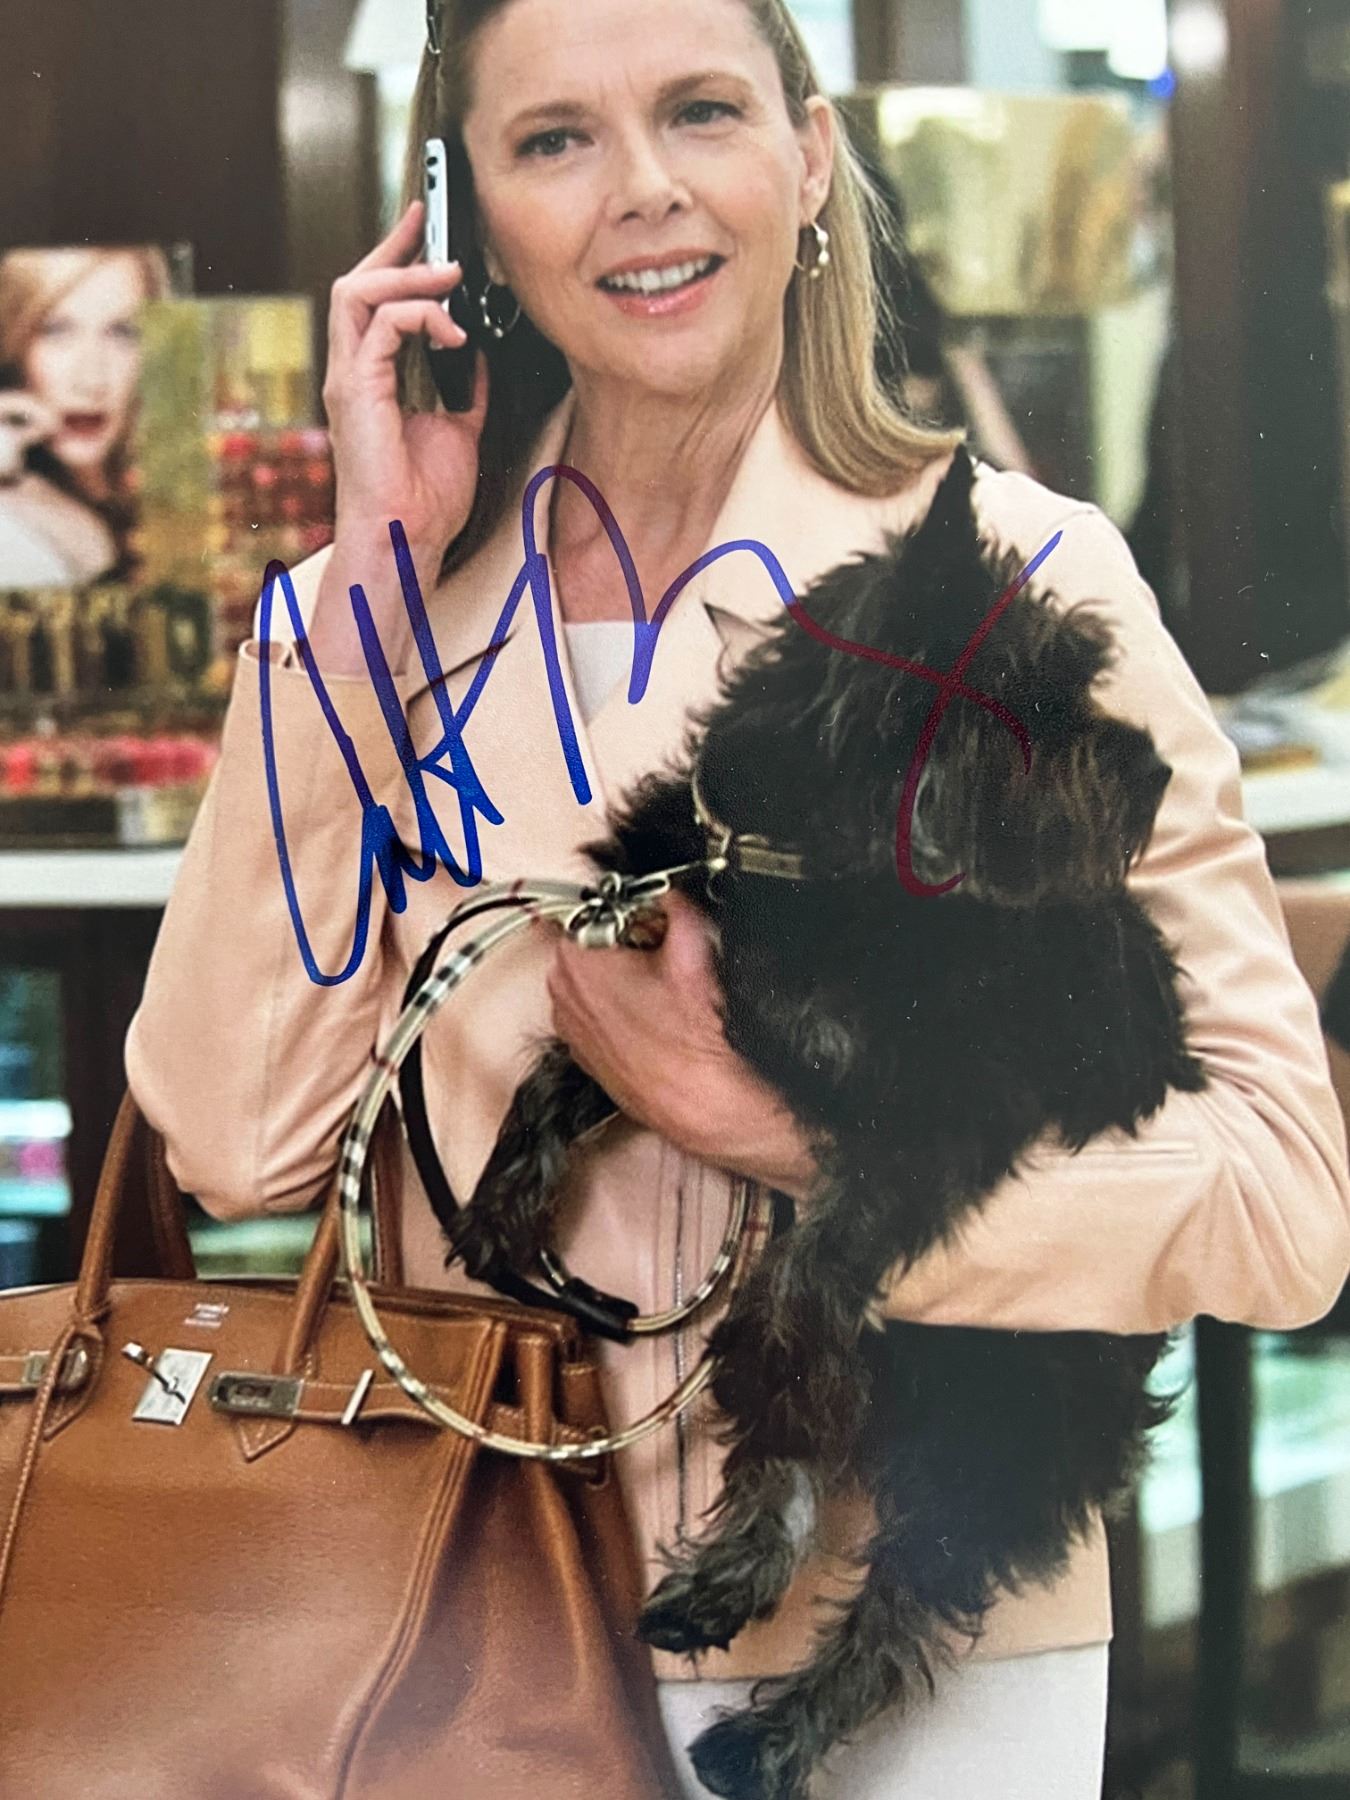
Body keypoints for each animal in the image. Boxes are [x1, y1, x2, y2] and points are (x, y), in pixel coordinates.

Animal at [439, 444, 1204, 1799]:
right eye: (1041, 698)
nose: (1157, 773)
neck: (808, 862)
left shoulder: (932, 1118)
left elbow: (802, 1285)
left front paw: (777, 1371)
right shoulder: (660, 980)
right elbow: (555, 1085)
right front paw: (501, 1210)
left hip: (1014, 1413)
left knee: (901, 1602)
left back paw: (766, 1730)